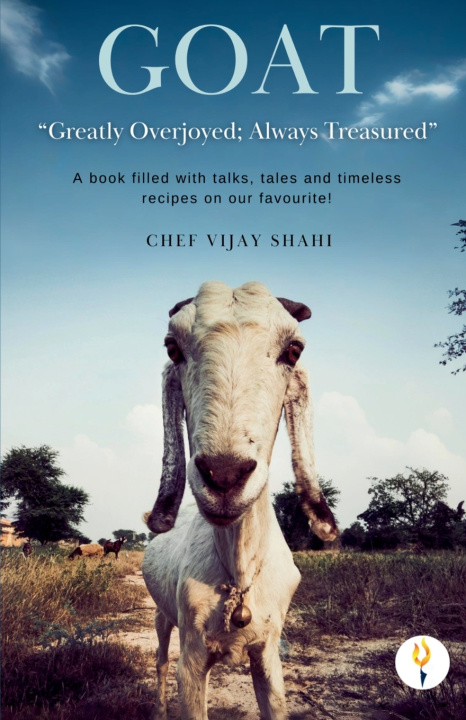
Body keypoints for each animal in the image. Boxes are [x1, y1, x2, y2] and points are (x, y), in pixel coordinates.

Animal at [142, 281, 337, 720]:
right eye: (173, 348)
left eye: (293, 351)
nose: (225, 474)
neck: (240, 575)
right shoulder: (191, 659)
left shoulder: (268, 651)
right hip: (163, 616)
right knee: (160, 660)